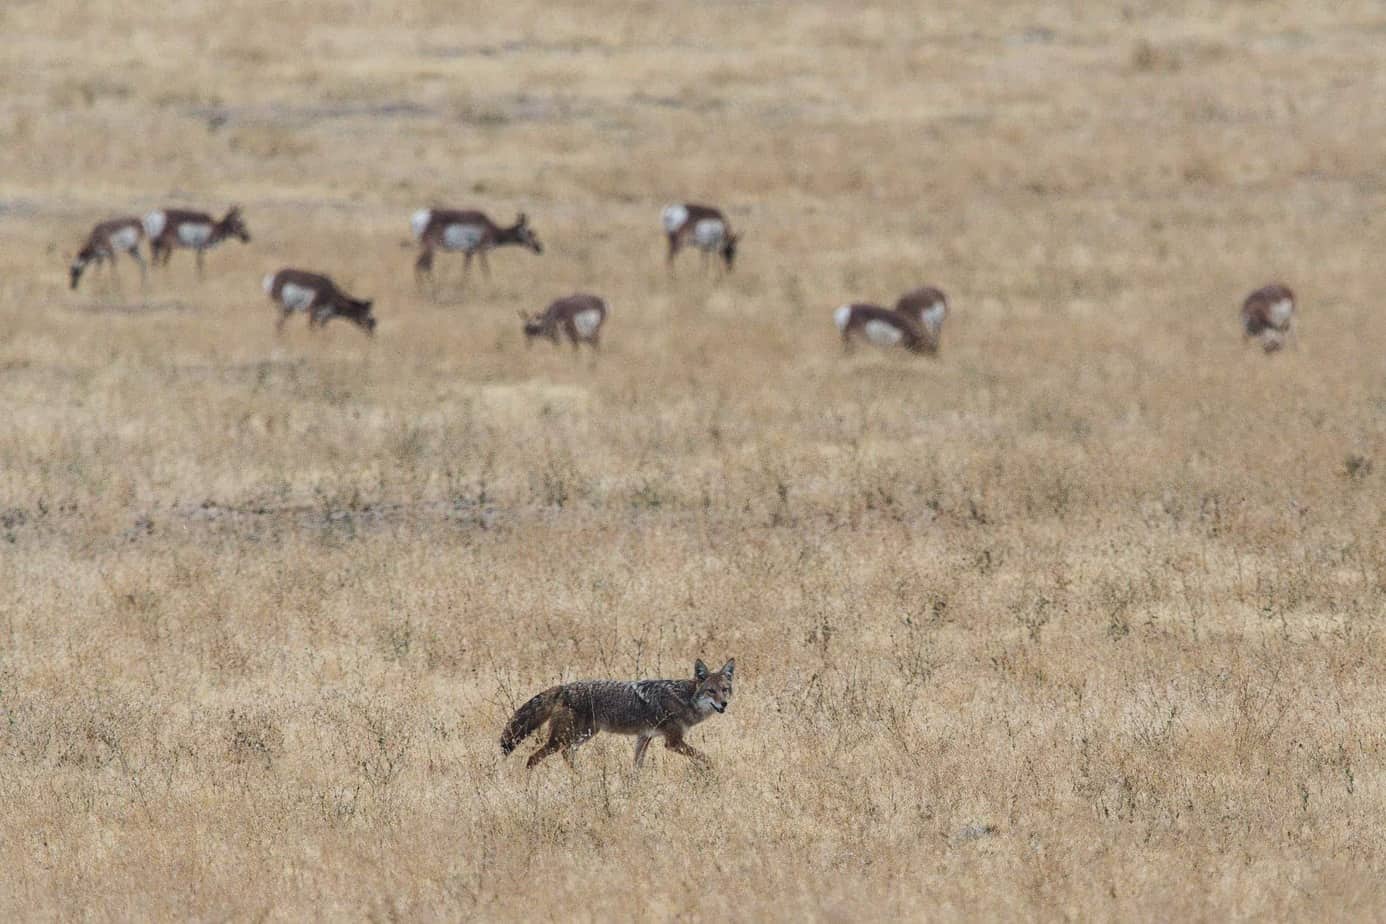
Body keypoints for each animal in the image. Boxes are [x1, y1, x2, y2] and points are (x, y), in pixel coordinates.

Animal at [407, 209, 543, 283]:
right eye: (530, 232)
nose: (540, 248)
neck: (490, 228)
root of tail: (417, 218)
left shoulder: (469, 252)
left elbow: (466, 269)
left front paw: (463, 285)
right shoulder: (481, 250)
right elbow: (485, 269)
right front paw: (489, 284)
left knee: (422, 264)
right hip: (430, 247)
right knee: (422, 264)